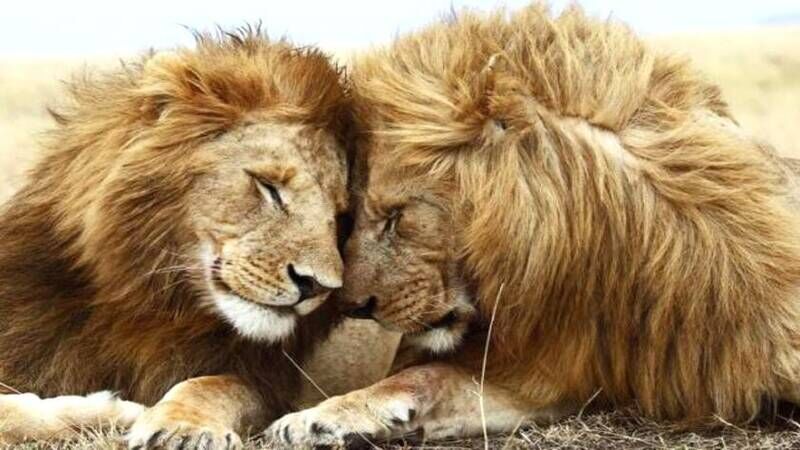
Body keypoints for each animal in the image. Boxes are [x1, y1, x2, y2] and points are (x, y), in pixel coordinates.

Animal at [0, 28, 351, 448]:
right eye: (268, 186)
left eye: (339, 216)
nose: (317, 286)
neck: (155, 303)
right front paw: (109, 410)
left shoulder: (262, 380)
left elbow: (213, 386)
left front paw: (182, 427)